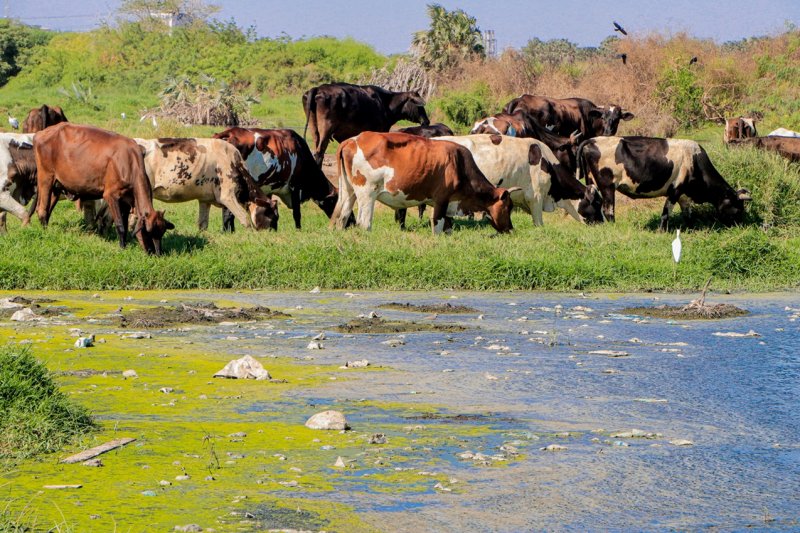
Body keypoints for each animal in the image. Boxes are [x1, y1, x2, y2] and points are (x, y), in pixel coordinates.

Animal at [34, 122, 173, 254]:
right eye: (148, 232)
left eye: (161, 233)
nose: (156, 253)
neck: (130, 163)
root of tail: (40, 134)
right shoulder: (111, 195)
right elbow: (120, 225)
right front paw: (122, 248)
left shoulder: (126, 201)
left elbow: (125, 224)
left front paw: (125, 244)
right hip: (46, 177)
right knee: (42, 209)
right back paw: (44, 233)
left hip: (57, 185)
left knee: (48, 209)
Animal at [134, 136, 278, 230]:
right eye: (272, 216)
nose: (271, 233)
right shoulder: (227, 196)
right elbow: (245, 219)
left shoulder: (205, 200)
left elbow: (202, 224)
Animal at [332, 130, 520, 233]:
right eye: (508, 207)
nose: (511, 229)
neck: (459, 163)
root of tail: (352, 140)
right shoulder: (441, 200)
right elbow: (437, 226)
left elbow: (448, 228)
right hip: (367, 194)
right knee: (364, 223)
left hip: (348, 192)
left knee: (341, 217)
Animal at [576, 135, 752, 229]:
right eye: (738, 208)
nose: (739, 226)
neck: (695, 161)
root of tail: (593, 139)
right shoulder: (675, 190)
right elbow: (666, 213)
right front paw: (662, 231)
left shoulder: (684, 195)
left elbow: (687, 214)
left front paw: (692, 228)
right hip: (607, 186)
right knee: (609, 210)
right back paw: (614, 227)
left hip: (593, 184)